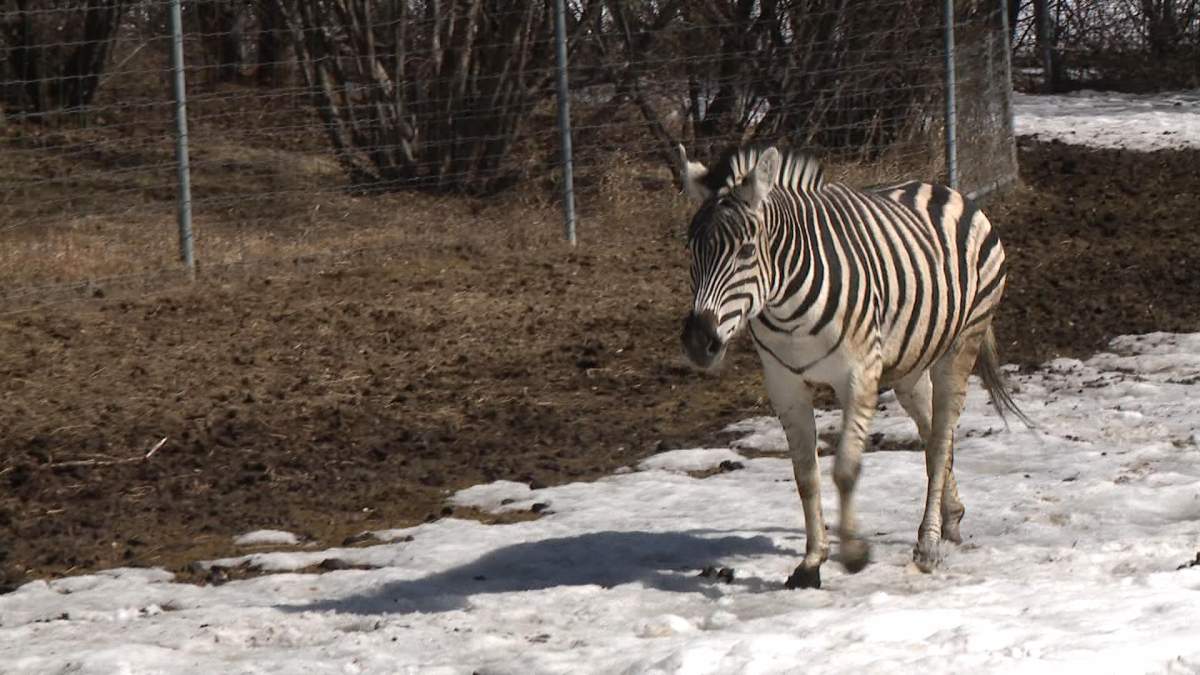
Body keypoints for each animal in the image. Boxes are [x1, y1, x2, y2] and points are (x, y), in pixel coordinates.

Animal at [677, 143, 1030, 589]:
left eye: (745, 251)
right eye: (691, 250)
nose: (698, 342)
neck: (786, 308)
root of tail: (943, 189)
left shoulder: (859, 375)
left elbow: (845, 469)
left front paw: (853, 554)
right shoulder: (783, 383)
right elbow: (806, 475)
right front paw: (811, 562)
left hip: (961, 344)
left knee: (939, 441)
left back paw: (928, 545)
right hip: (911, 363)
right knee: (933, 432)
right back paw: (951, 517)